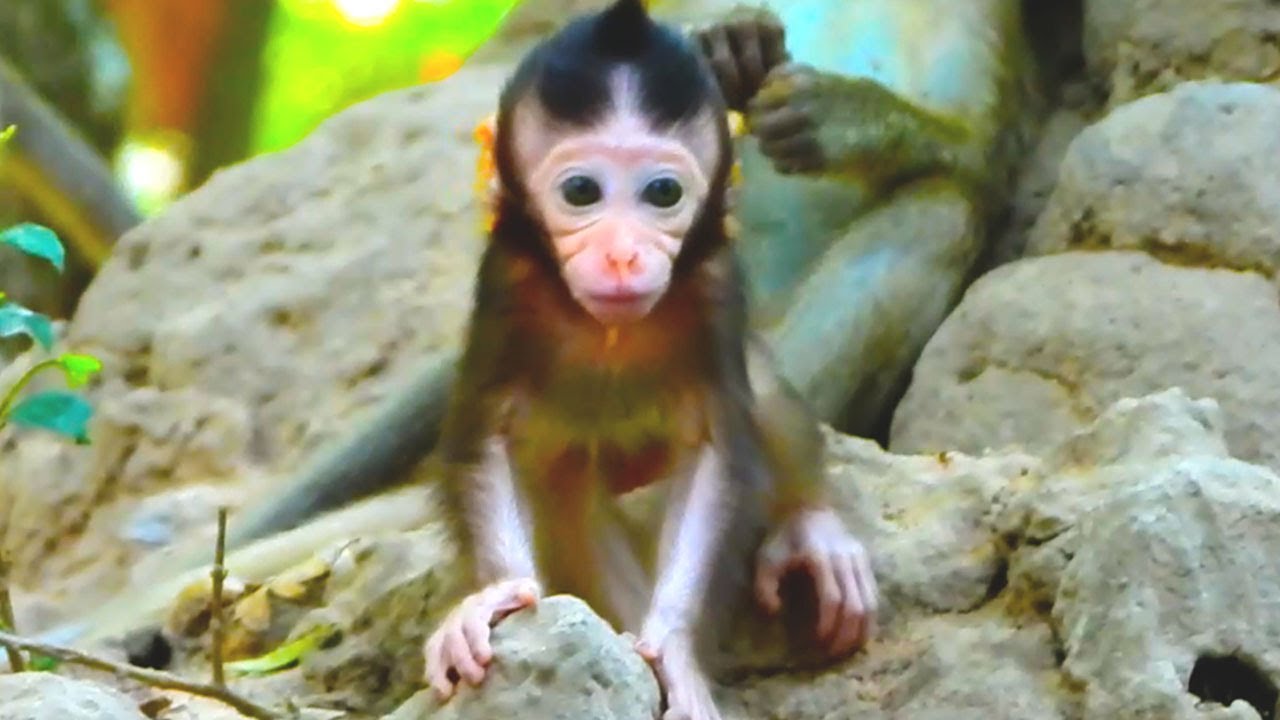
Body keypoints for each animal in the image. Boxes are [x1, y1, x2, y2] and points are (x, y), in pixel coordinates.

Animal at [419, 2, 875, 717]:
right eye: (582, 191)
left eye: (663, 194)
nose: (623, 255)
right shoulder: (506, 284)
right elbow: (486, 437)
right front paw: (491, 600)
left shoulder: (715, 287)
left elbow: (718, 448)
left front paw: (676, 656)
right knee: (565, 485)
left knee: (762, 392)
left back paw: (811, 528)